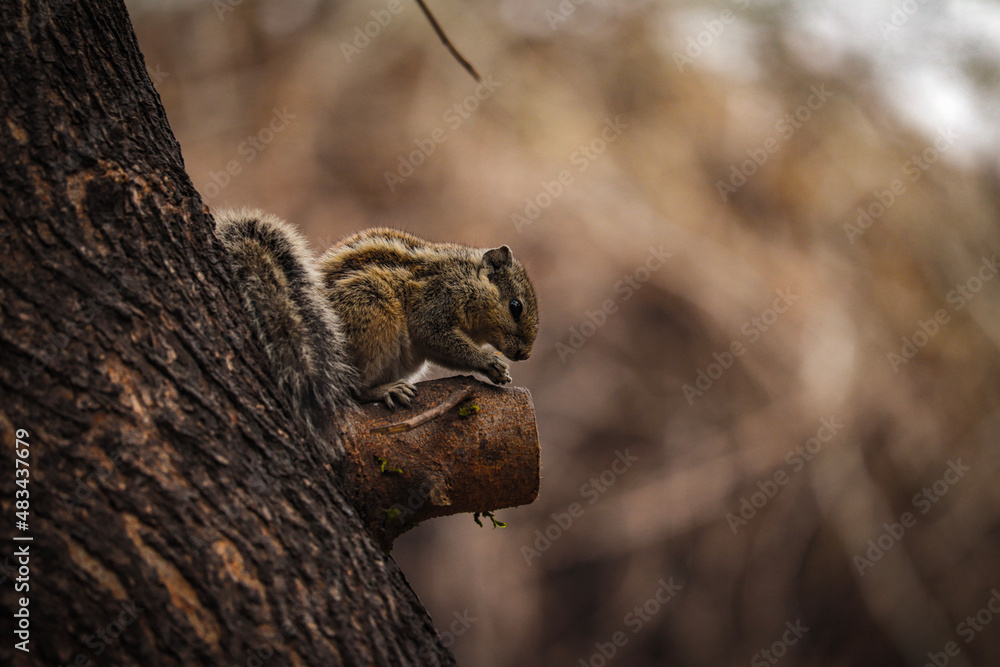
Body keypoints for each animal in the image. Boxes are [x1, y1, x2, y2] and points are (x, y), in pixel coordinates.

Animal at [214, 209, 537, 424]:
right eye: (516, 306)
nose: (524, 355)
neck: (465, 278)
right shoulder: (435, 303)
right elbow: (434, 337)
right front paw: (489, 361)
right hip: (371, 312)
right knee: (352, 390)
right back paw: (385, 390)